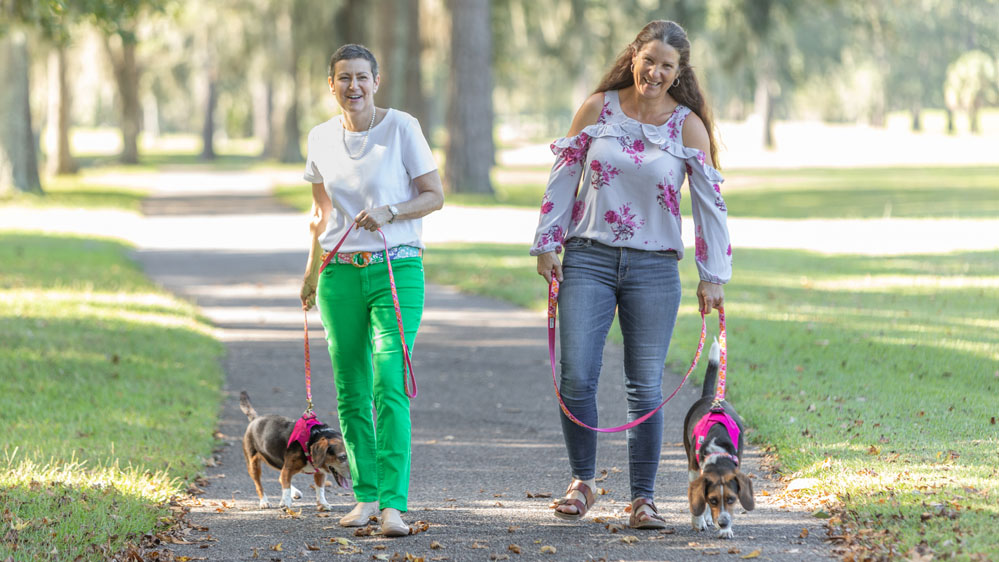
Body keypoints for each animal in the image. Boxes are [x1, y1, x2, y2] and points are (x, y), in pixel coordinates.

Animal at [684, 340, 752, 536]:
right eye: (713, 500)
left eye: (732, 499)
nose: (723, 523)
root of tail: (711, 397)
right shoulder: (694, 471)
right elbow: (698, 499)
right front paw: (698, 521)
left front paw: (725, 530)